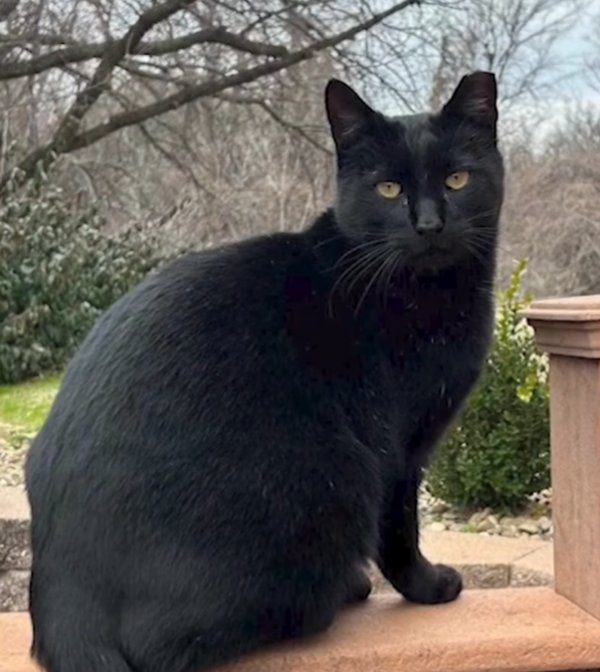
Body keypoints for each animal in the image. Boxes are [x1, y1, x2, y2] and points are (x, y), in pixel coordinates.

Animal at [28, 71, 504, 668]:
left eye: (457, 179)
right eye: (389, 189)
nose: (429, 225)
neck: (428, 295)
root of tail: (60, 573)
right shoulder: (398, 449)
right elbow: (398, 528)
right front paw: (428, 586)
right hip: (335, 479)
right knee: (160, 643)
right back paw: (335, 597)